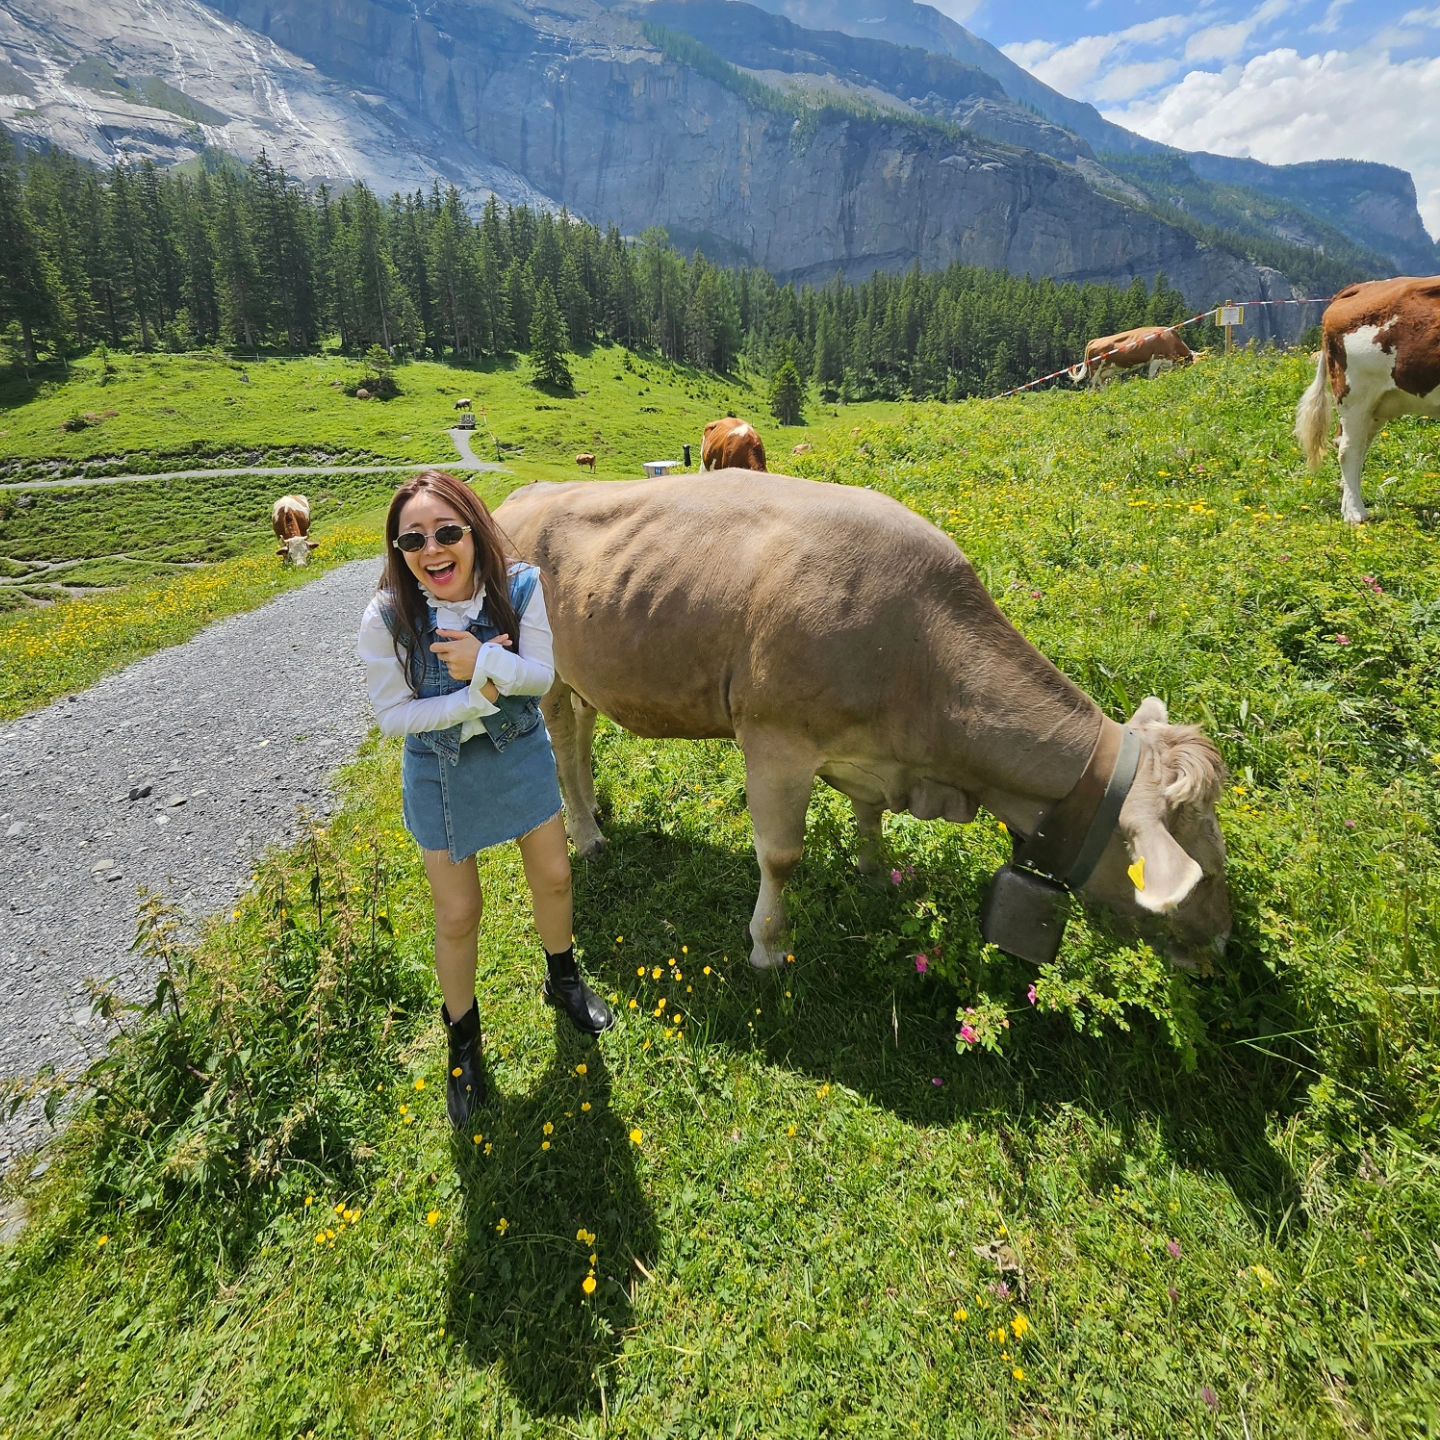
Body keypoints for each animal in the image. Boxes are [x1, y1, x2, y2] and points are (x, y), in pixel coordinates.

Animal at [495, 475, 1226, 979]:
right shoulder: (777, 744)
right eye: (1205, 865)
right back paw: (586, 832)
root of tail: (516, 498)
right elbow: (780, 857)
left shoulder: (872, 757)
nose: (1220, 944)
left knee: (583, 739)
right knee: (562, 748)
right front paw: (768, 946)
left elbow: (870, 814)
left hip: (590, 671)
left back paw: (595, 812)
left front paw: (875, 870)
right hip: (545, 677)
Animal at [1065, 328, 1198, 388]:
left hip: (1105, 371)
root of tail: (1094, 340)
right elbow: (1151, 376)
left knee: (1101, 383)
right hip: (1095, 368)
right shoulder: (1156, 358)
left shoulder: (1166, 362)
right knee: (1092, 384)